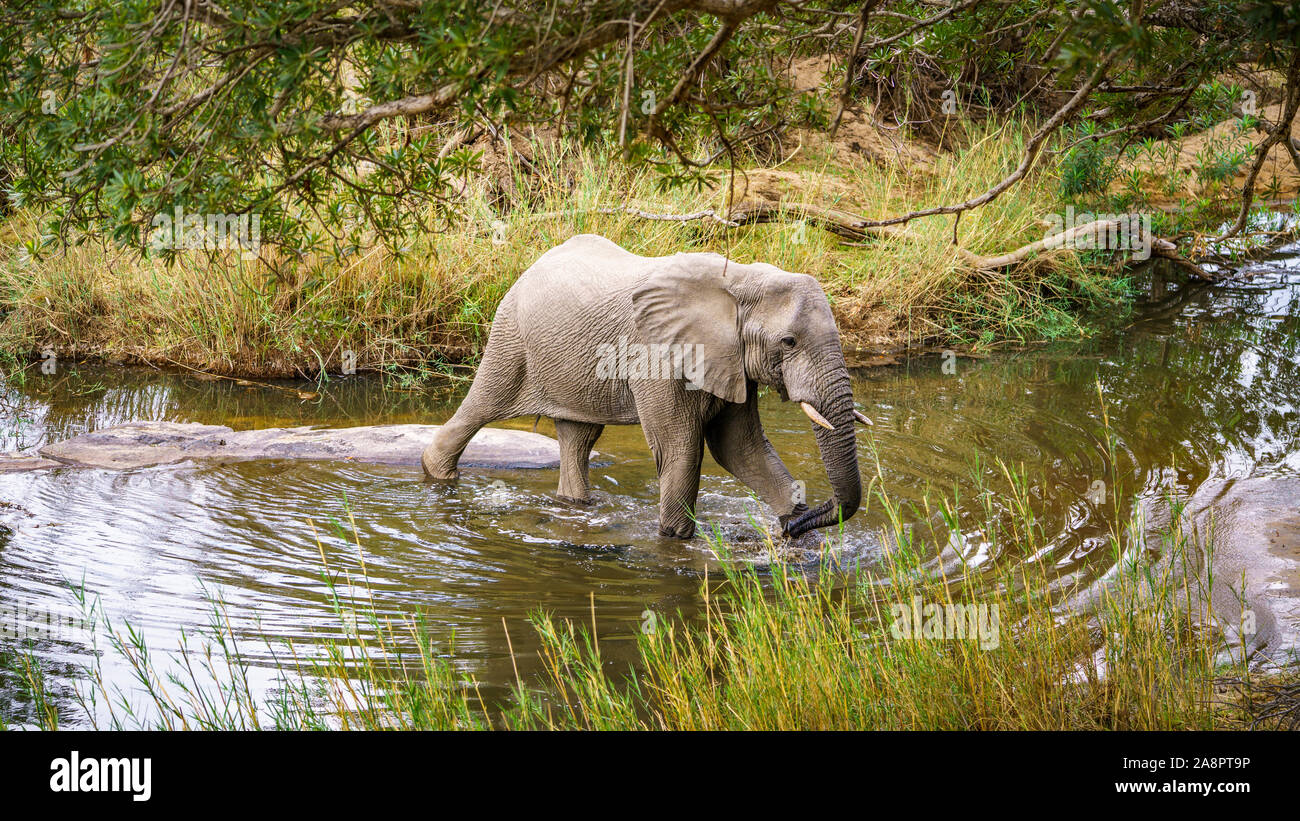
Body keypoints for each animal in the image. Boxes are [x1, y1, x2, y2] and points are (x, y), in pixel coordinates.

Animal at [421, 233, 868, 537]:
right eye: (789, 342)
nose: (793, 522)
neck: (740, 280)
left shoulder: (732, 361)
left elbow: (741, 449)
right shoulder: (658, 355)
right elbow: (681, 450)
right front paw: (674, 540)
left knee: (579, 437)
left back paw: (575, 504)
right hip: (510, 335)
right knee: (483, 405)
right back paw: (435, 473)